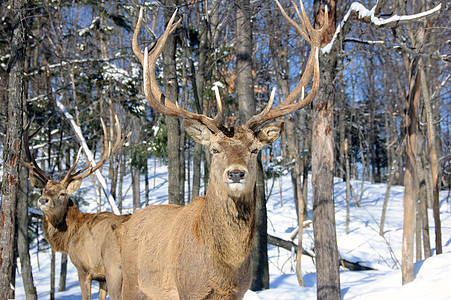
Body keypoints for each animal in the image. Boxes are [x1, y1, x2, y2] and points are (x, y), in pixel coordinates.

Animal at [23, 117, 130, 300]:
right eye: (43, 190)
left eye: (62, 193)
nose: (43, 200)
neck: (69, 237)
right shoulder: (102, 278)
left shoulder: (84, 268)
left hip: (117, 270)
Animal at [121, 1, 328, 298]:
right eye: (215, 150)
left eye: (254, 150)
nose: (236, 173)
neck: (224, 269)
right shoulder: (188, 289)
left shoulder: (239, 291)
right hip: (128, 281)